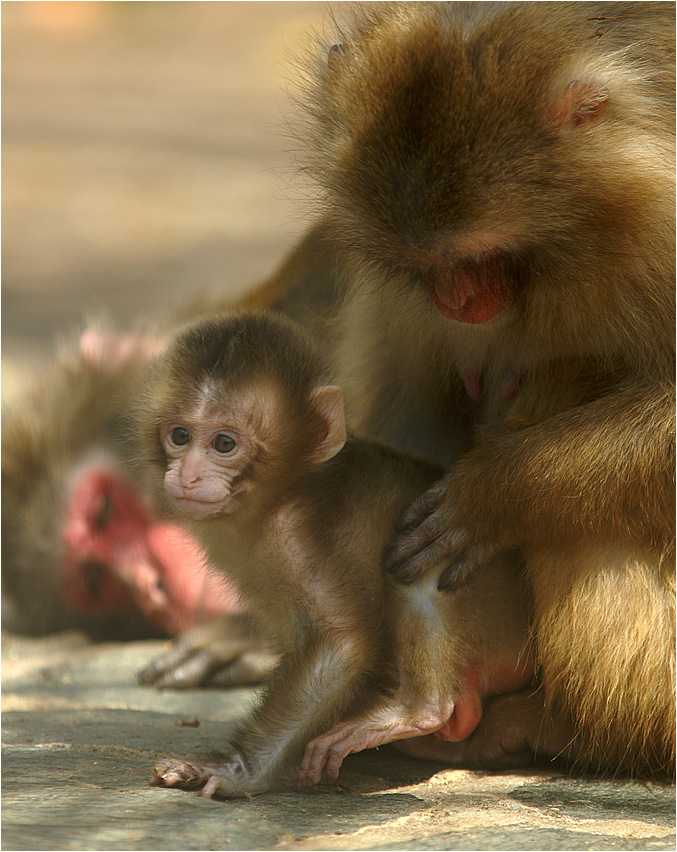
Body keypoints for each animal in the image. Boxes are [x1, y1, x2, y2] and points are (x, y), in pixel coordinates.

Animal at [145, 312, 532, 800]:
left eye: (224, 444)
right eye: (180, 436)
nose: (189, 475)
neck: (279, 498)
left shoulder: (299, 535)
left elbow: (343, 644)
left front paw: (241, 772)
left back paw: (418, 711)